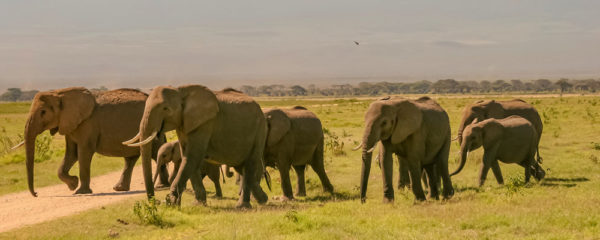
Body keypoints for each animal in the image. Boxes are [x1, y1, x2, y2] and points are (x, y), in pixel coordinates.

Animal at [14, 87, 169, 196]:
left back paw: (161, 186)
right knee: (131, 159)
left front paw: (80, 191)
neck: (60, 93)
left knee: (156, 152)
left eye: (43, 112)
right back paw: (120, 189)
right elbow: (71, 154)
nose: (36, 193)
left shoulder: (88, 124)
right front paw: (73, 184)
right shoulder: (70, 124)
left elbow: (84, 153)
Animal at [123, 86, 268, 208]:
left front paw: (172, 203)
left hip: (259, 130)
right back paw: (263, 199)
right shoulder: (184, 124)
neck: (180, 91)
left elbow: (191, 157)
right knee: (241, 168)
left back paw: (243, 207)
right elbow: (187, 157)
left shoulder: (205, 124)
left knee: (249, 164)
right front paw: (197, 204)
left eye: (165, 109)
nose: (156, 201)